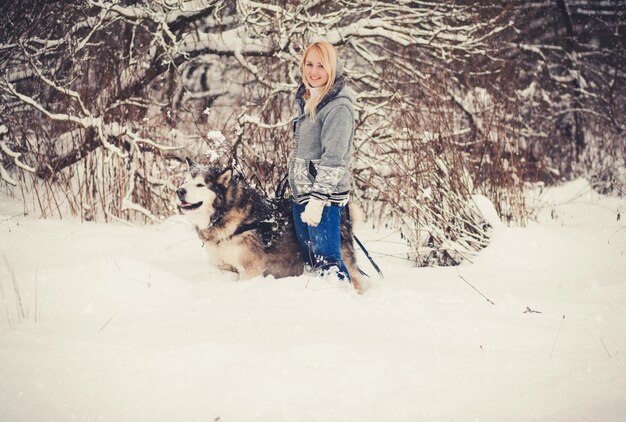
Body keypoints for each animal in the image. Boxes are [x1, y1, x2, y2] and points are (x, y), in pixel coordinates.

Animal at [176, 158, 360, 294]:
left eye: (200, 185)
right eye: (185, 182)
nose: (179, 191)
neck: (225, 214)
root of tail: (343, 210)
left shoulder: (251, 270)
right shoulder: (223, 266)